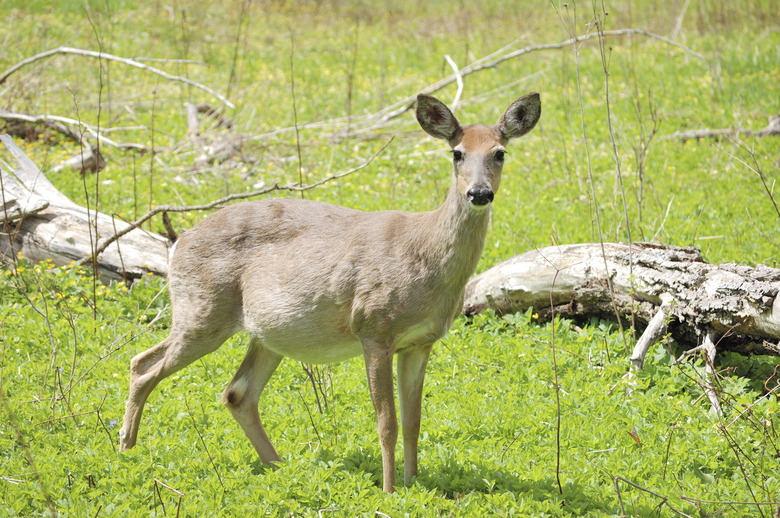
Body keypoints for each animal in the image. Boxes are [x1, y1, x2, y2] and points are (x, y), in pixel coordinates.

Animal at [119, 91, 544, 494]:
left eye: (500, 153)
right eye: (457, 153)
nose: (479, 193)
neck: (424, 253)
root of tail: (178, 242)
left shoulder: (420, 342)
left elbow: (414, 421)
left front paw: (413, 483)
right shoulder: (374, 328)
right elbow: (387, 422)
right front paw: (390, 491)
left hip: (266, 334)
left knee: (236, 393)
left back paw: (281, 468)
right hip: (202, 312)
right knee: (143, 365)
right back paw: (126, 448)